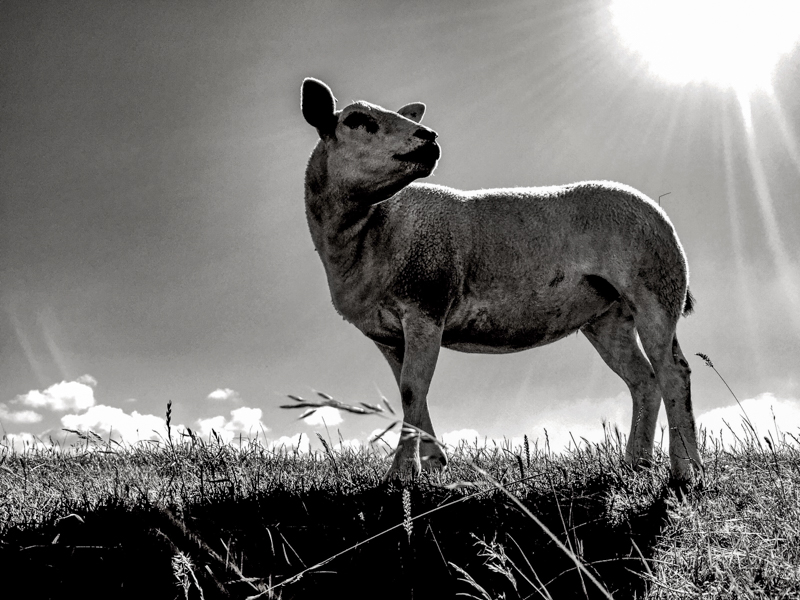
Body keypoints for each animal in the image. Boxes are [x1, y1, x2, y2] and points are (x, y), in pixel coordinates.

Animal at [298, 78, 700, 482]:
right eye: (357, 120)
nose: (429, 136)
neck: (372, 228)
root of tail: (657, 210)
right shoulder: (386, 335)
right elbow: (408, 392)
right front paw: (433, 461)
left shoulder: (426, 305)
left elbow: (412, 390)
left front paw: (402, 473)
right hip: (608, 315)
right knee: (644, 380)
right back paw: (637, 462)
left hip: (655, 286)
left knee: (673, 372)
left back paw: (685, 468)